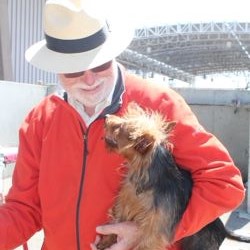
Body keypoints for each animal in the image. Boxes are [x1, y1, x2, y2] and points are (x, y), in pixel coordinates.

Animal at [97, 102, 250, 250]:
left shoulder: (154, 231)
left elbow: (144, 244)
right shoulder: (125, 203)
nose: (106, 116)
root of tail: (223, 228)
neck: (145, 179)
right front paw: (106, 241)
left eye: (118, 127)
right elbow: (116, 221)